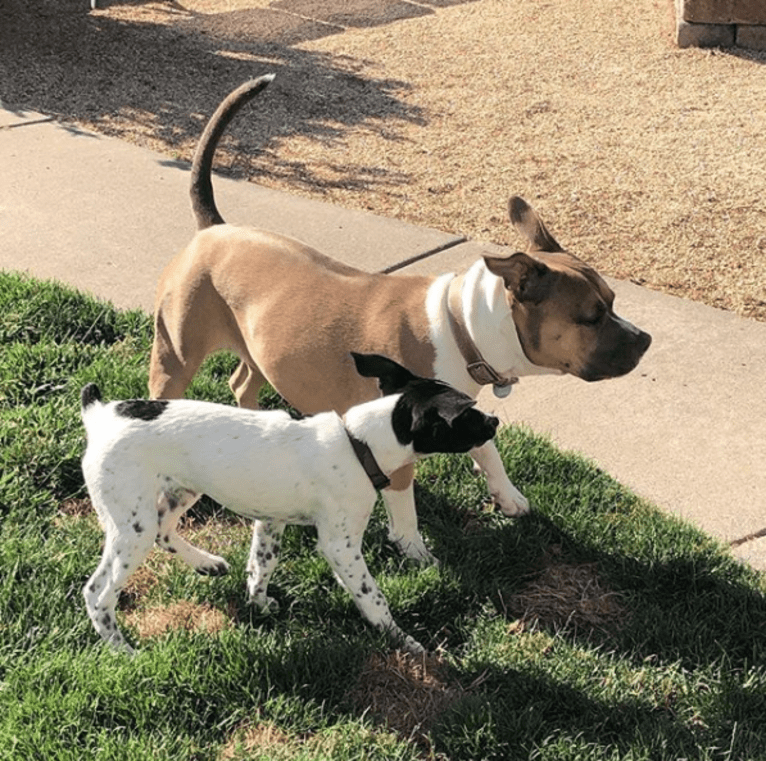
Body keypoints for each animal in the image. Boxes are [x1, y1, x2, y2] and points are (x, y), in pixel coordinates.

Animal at [78, 352, 498, 652]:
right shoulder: (340, 545)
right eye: (468, 415)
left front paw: (260, 605)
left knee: (165, 532)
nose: (494, 420)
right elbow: (372, 595)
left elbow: (261, 567)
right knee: (97, 593)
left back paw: (206, 563)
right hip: (131, 528)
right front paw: (402, 639)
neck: (358, 442)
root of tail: (100, 417)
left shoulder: (270, 521)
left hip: (180, 491)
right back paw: (123, 650)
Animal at [152, 77, 656, 576]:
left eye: (613, 301)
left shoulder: (464, 406)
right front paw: (414, 548)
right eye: (591, 316)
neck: (462, 327)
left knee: (242, 382)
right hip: (174, 356)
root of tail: (214, 229)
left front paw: (508, 495)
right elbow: (404, 497)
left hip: (257, 348)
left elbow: (487, 447)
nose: (645, 340)